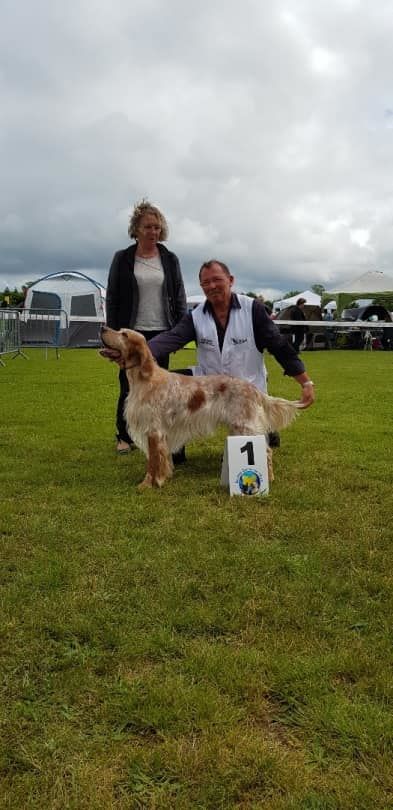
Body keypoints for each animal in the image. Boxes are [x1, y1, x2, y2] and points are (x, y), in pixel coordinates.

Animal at [100, 326, 304, 490]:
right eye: (119, 330)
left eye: (124, 334)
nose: (103, 327)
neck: (145, 379)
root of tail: (252, 388)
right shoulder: (160, 434)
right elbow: (162, 460)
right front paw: (161, 478)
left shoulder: (153, 430)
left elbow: (152, 463)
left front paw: (147, 484)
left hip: (246, 426)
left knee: (267, 451)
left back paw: (269, 477)